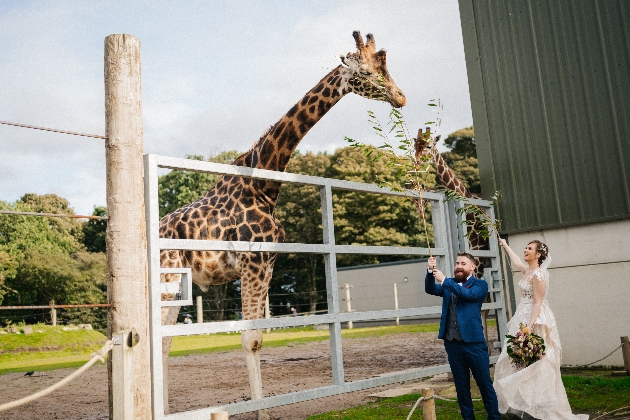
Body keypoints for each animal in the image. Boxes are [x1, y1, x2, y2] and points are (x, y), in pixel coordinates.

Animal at [157, 31, 404, 418]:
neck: (265, 184)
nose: (400, 97)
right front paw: (261, 411)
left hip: (178, 284)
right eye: (365, 72)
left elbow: (259, 337)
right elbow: (250, 339)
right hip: (165, 281)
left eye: (385, 68)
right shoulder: (252, 263)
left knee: (165, 340)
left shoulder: (268, 264)